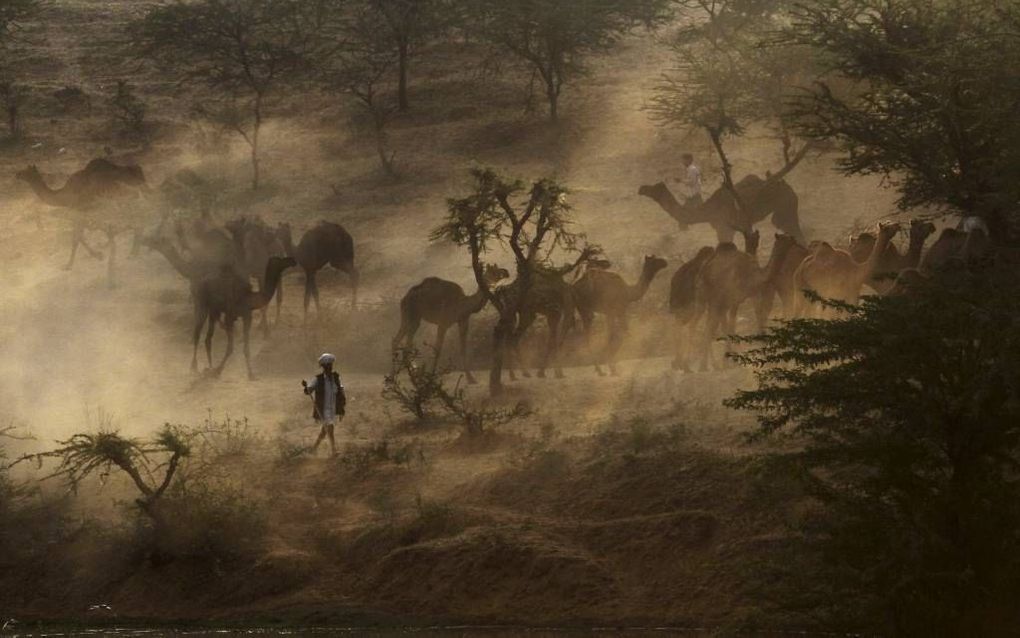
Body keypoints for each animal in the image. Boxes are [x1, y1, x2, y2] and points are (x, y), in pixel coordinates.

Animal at [15, 158, 148, 273]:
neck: (65, 195)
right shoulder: (84, 213)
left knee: (135, 219)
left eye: (26, 171)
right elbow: (81, 236)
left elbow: (76, 238)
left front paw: (69, 265)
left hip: (122, 199)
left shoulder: (80, 212)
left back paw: (132, 253)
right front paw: (98, 254)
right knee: (134, 219)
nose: (17, 174)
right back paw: (131, 250)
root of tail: (139, 173)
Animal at [636, 172, 803, 242]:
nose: (641, 189)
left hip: (786, 204)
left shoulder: (724, 228)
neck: (708, 211)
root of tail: (789, 187)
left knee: (791, 226)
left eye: (654, 188)